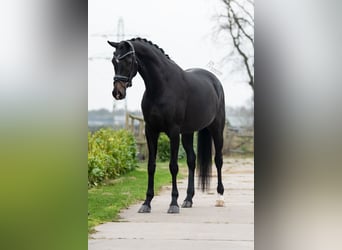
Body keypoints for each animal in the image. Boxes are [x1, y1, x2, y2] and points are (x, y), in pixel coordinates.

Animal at [108, 37, 226, 213]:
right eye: (113, 61)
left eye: (128, 61)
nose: (117, 93)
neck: (161, 87)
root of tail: (214, 81)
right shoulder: (151, 131)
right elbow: (151, 166)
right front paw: (146, 203)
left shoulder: (173, 131)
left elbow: (173, 166)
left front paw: (173, 204)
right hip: (188, 133)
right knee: (192, 160)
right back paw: (188, 199)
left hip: (216, 129)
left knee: (218, 160)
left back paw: (220, 198)